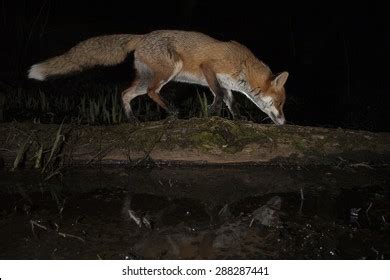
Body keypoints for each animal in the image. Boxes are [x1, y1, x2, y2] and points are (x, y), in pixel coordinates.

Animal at [27, 29, 288, 124]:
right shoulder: (209, 68)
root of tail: (142, 36)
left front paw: (238, 117)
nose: (284, 122)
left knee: (125, 93)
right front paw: (212, 112)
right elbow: (218, 95)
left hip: (144, 80)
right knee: (153, 92)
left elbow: (230, 100)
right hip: (168, 72)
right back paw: (172, 111)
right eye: (279, 104)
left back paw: (132, 119)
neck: (243, 65)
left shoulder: (227, 83)